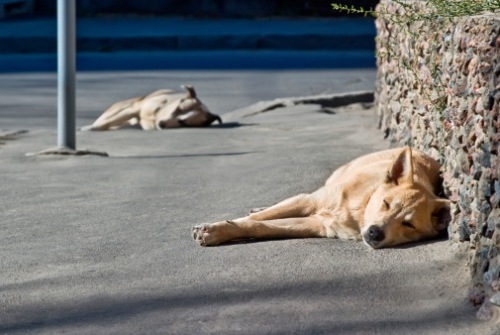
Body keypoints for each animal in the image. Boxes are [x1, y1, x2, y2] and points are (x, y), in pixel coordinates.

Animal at [81, 84, 221, 131]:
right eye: (177, 109)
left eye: (183, 122)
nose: (161, 124)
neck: (157, 115)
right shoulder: (135, 109)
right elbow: (103, 123)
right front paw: (90, 128)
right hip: (122, 107)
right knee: (107, 118)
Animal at [193, 148, 452, 249]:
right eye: (386, 203)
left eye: (409, 224)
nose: (374, 233)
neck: (358, 210)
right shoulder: (310, 202)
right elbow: (256, 219)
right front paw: (216, 228)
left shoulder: (316, 223)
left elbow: (262, 226)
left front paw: (220, 231)